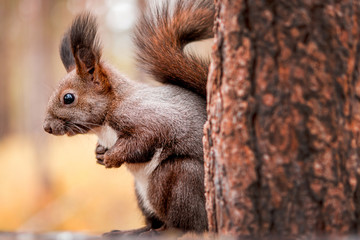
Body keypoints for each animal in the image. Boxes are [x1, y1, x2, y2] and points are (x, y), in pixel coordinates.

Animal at [44, 0, 215, 236]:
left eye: (68, 98)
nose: (46, 127)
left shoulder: (149, 117)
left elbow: (145, 139)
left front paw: (112, 157)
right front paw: (99, 153)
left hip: (179, 177)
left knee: (189, 226)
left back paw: (167, 231)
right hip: (141, 196)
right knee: (154, 221)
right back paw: (134, 231)